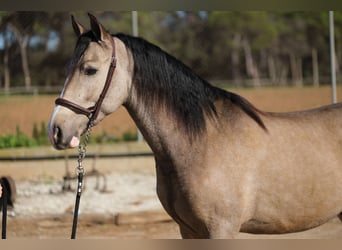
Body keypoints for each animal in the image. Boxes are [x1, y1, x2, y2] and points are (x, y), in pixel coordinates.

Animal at [48, 13, 342, 238]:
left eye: (90, 70)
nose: (56, 130)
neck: (201, 143)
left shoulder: (221, 229)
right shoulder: (189, 230)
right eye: (67, 68)